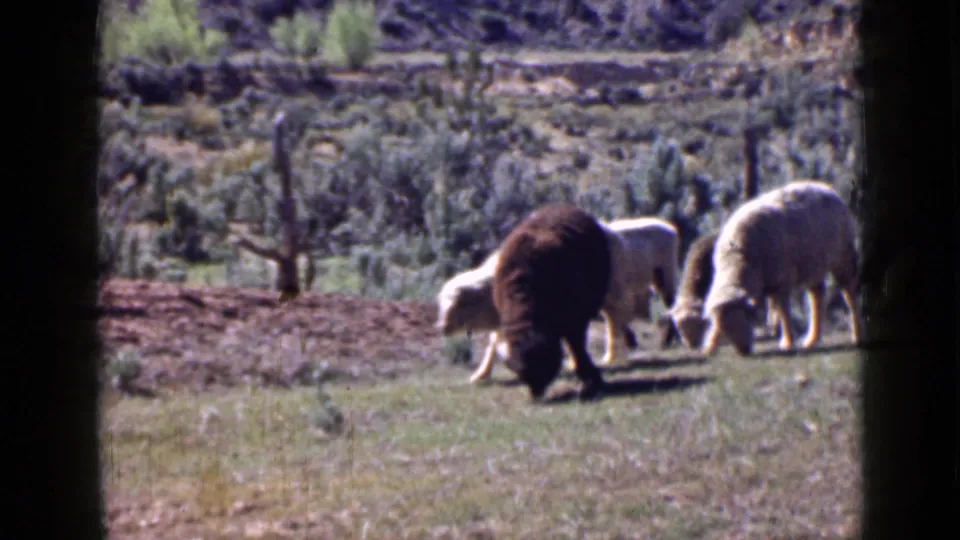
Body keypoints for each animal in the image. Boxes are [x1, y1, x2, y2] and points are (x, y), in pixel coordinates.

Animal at [436, 217, 682, 384]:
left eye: (458, 304)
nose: (441, 328)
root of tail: (668, 227)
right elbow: (494, 344)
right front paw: (481, 374)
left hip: (658, 276)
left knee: (628, 317)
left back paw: (616, 354)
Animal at [492, 203, 611, 401]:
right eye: (520, 373)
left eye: (541, 364)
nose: (536, 392)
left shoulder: (576, 320)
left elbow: (578, 347)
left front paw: (591, 380)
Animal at [700, 180, 863, 356]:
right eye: (724, 329)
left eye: (743, 319)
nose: (745, 350)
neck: (738, 260)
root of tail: (826, 188)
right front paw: (710, 346)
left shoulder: (781, 280)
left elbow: (783, 311)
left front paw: (788, 342)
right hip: (814, 265)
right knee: (817, 297)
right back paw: (812, 339)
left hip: (843, 256)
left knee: (849, 293)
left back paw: (857, 335)